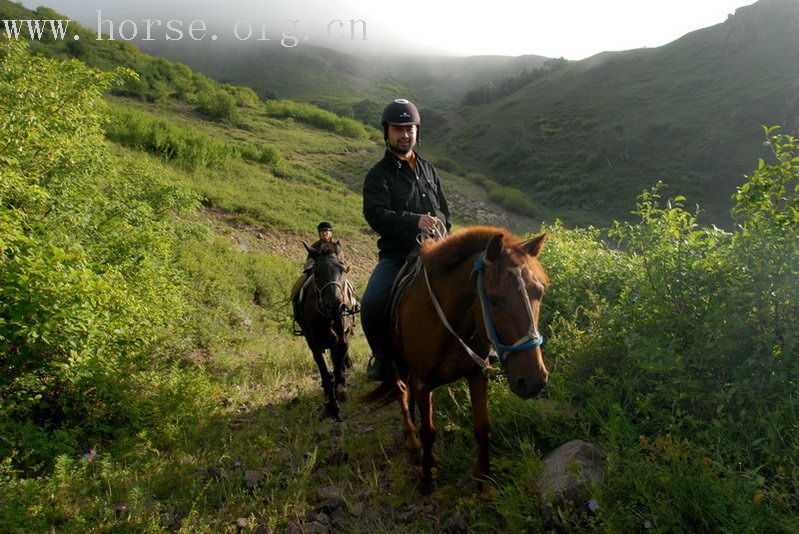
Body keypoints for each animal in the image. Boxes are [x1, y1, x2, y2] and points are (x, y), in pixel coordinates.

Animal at [296, 243, 354, 422]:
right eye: (316, 271)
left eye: (343, 269)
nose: (334, 305)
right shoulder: (314, 343)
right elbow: (327, 375)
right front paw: (332, 407)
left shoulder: (343, 340)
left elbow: (337, 367)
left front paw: (341, 390)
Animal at [364, 228, 548, 492]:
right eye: (494, 299)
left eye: (539, 293)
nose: (533, 381)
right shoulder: (423, 382)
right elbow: (428, 431)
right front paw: (426, 477)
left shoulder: (477, 373)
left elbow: (482, 427)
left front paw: (483, 479)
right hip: (392, 360)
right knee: (400, 391)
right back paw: (412, 441)